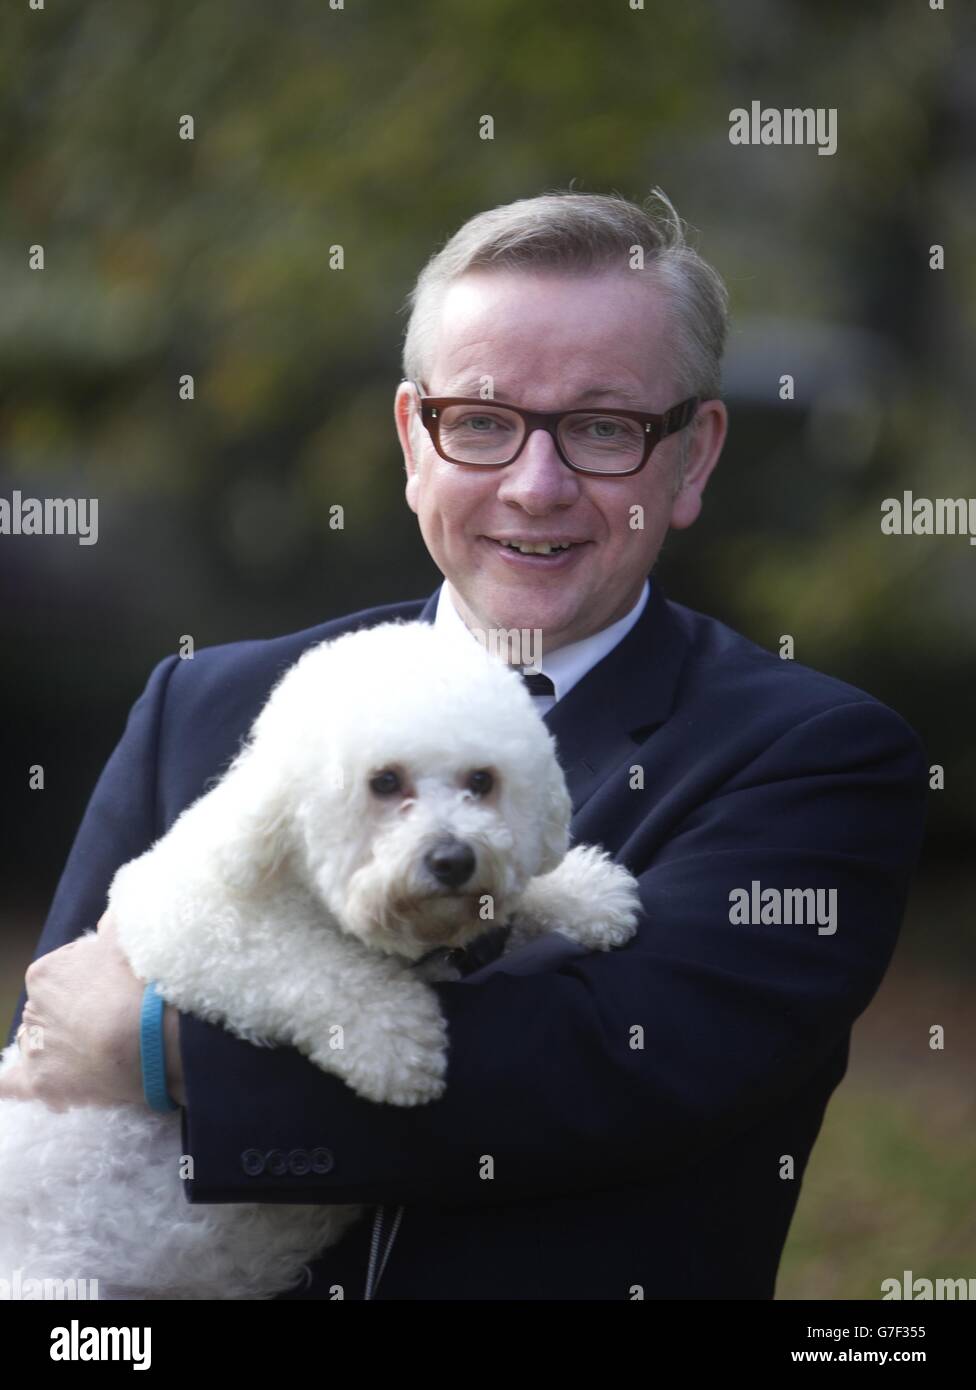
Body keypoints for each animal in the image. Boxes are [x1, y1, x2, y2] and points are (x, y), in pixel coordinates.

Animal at [0, 622, 645, 1301]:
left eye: (481, 780)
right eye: (384, 781)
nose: (454, 860)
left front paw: (587, 893)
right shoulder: (190, 921)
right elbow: (307, 962)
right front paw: (393, 1043)